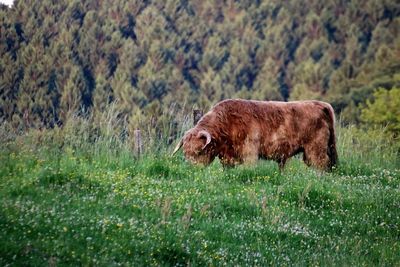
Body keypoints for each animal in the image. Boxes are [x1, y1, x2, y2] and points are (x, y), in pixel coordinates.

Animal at [172, 99, 338, 172]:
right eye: (185, 153)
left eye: (199, 151)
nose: (192, 169)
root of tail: (321, 104)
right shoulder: (227, 157)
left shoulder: (249, 151)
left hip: (315, 149)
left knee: (322, 164)